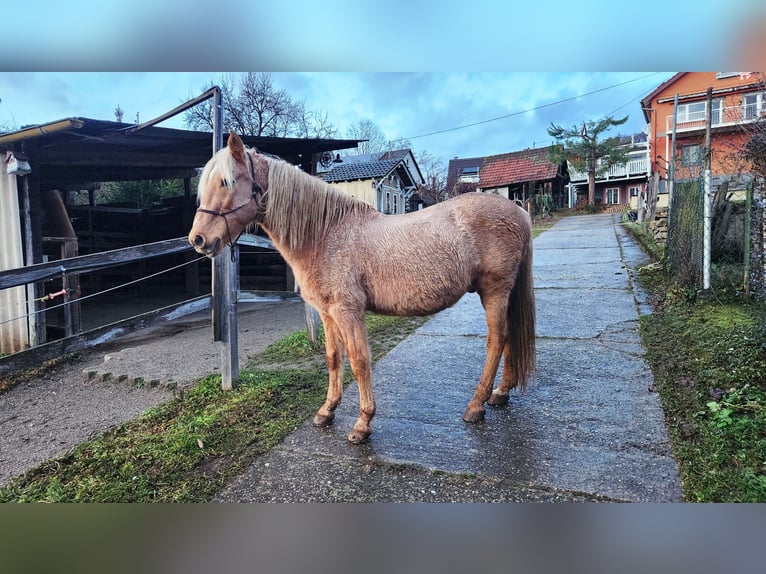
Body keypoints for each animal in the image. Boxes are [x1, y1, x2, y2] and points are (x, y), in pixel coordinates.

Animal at [189, 134, 536, 446]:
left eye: (226, 182)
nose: (198, 240)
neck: (326, 234)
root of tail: (518, 211)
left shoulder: (348, 310)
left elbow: (358, 361)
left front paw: (362, 423)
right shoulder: (327, 313)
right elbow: (333, 358)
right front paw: (326, 411)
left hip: (494, 290)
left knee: (497, 339)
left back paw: (476, 405)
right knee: (507, 337)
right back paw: (500, 394)